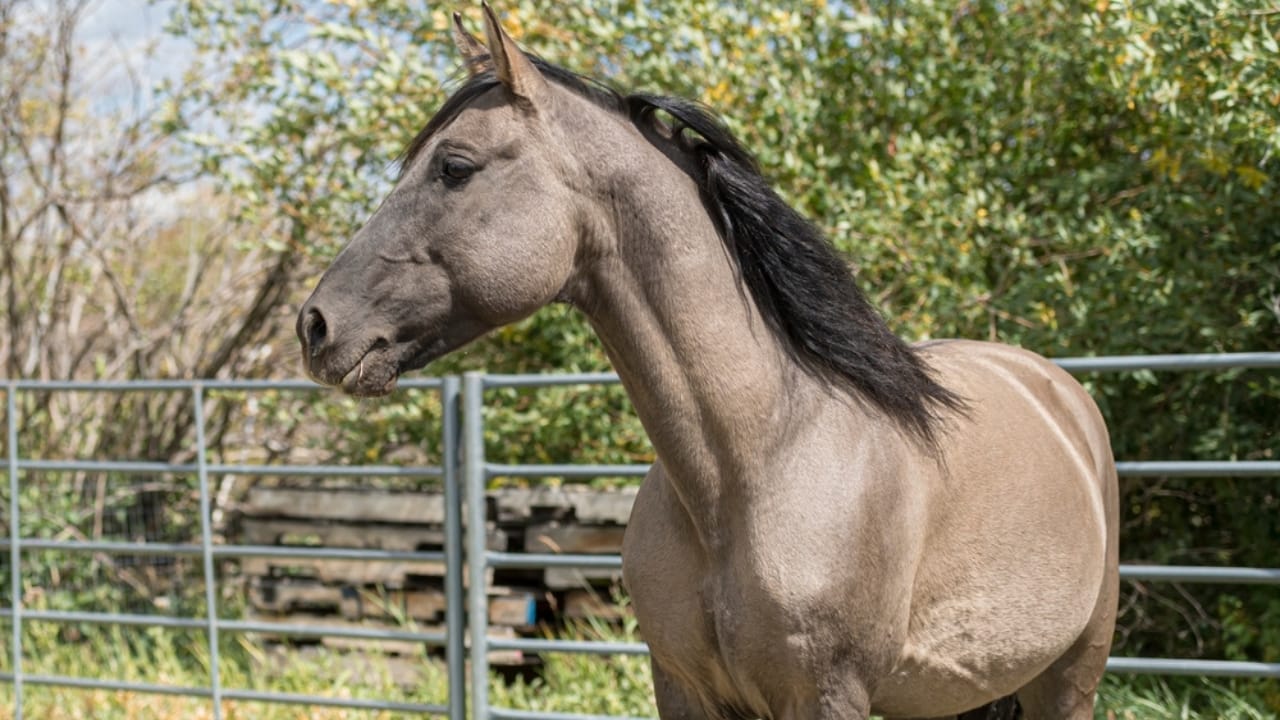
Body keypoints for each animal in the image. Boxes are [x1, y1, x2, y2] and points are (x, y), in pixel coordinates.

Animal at [296, 6, 1119, 718]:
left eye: (455, 167)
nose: (315, 326)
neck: (749, 469)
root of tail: (1057, 391)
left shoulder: (828, 697)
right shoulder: (684, 688)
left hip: (1068, 678)